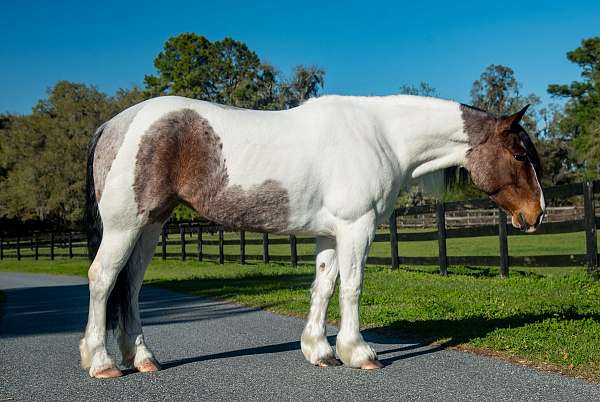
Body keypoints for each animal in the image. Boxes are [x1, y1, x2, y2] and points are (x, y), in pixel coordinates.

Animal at [79, 96, 544, 378]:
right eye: (519, 154)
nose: (536, 214)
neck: (381, 136)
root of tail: (113, 125)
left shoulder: (331, 234)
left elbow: (323, 286)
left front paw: (320, 351)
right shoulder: (357, 227)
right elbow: (352, 287)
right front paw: (360, 353)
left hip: (149, 226)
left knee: (130, 288)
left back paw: (143, 359)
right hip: (125, 225)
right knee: (103, 279)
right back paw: (101, 362)